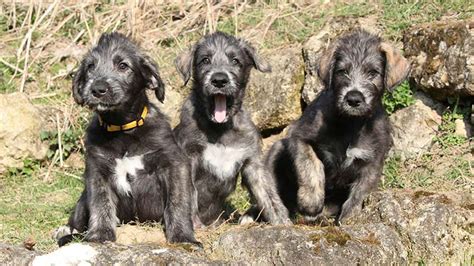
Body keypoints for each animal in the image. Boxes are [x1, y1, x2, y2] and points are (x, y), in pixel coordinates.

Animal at [56, 32, 199, 246]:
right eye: (90, 67)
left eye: (123, 66)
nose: (97, 89)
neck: (122, 130)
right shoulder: (96, 169)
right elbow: (101, 203)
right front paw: (99, 235)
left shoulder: (174, 163)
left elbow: (178, 202)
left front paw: (183, 237)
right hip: (82, 199)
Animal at [266, 29, 412, 222]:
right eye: (342, 71)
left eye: (373, 72)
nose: (354, 98)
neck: (351, 124)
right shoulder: (298, 135)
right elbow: (310, 165)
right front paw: (311, 201)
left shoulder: (373, 162)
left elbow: (360, 192)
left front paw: (349, 218)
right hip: (275, 152)